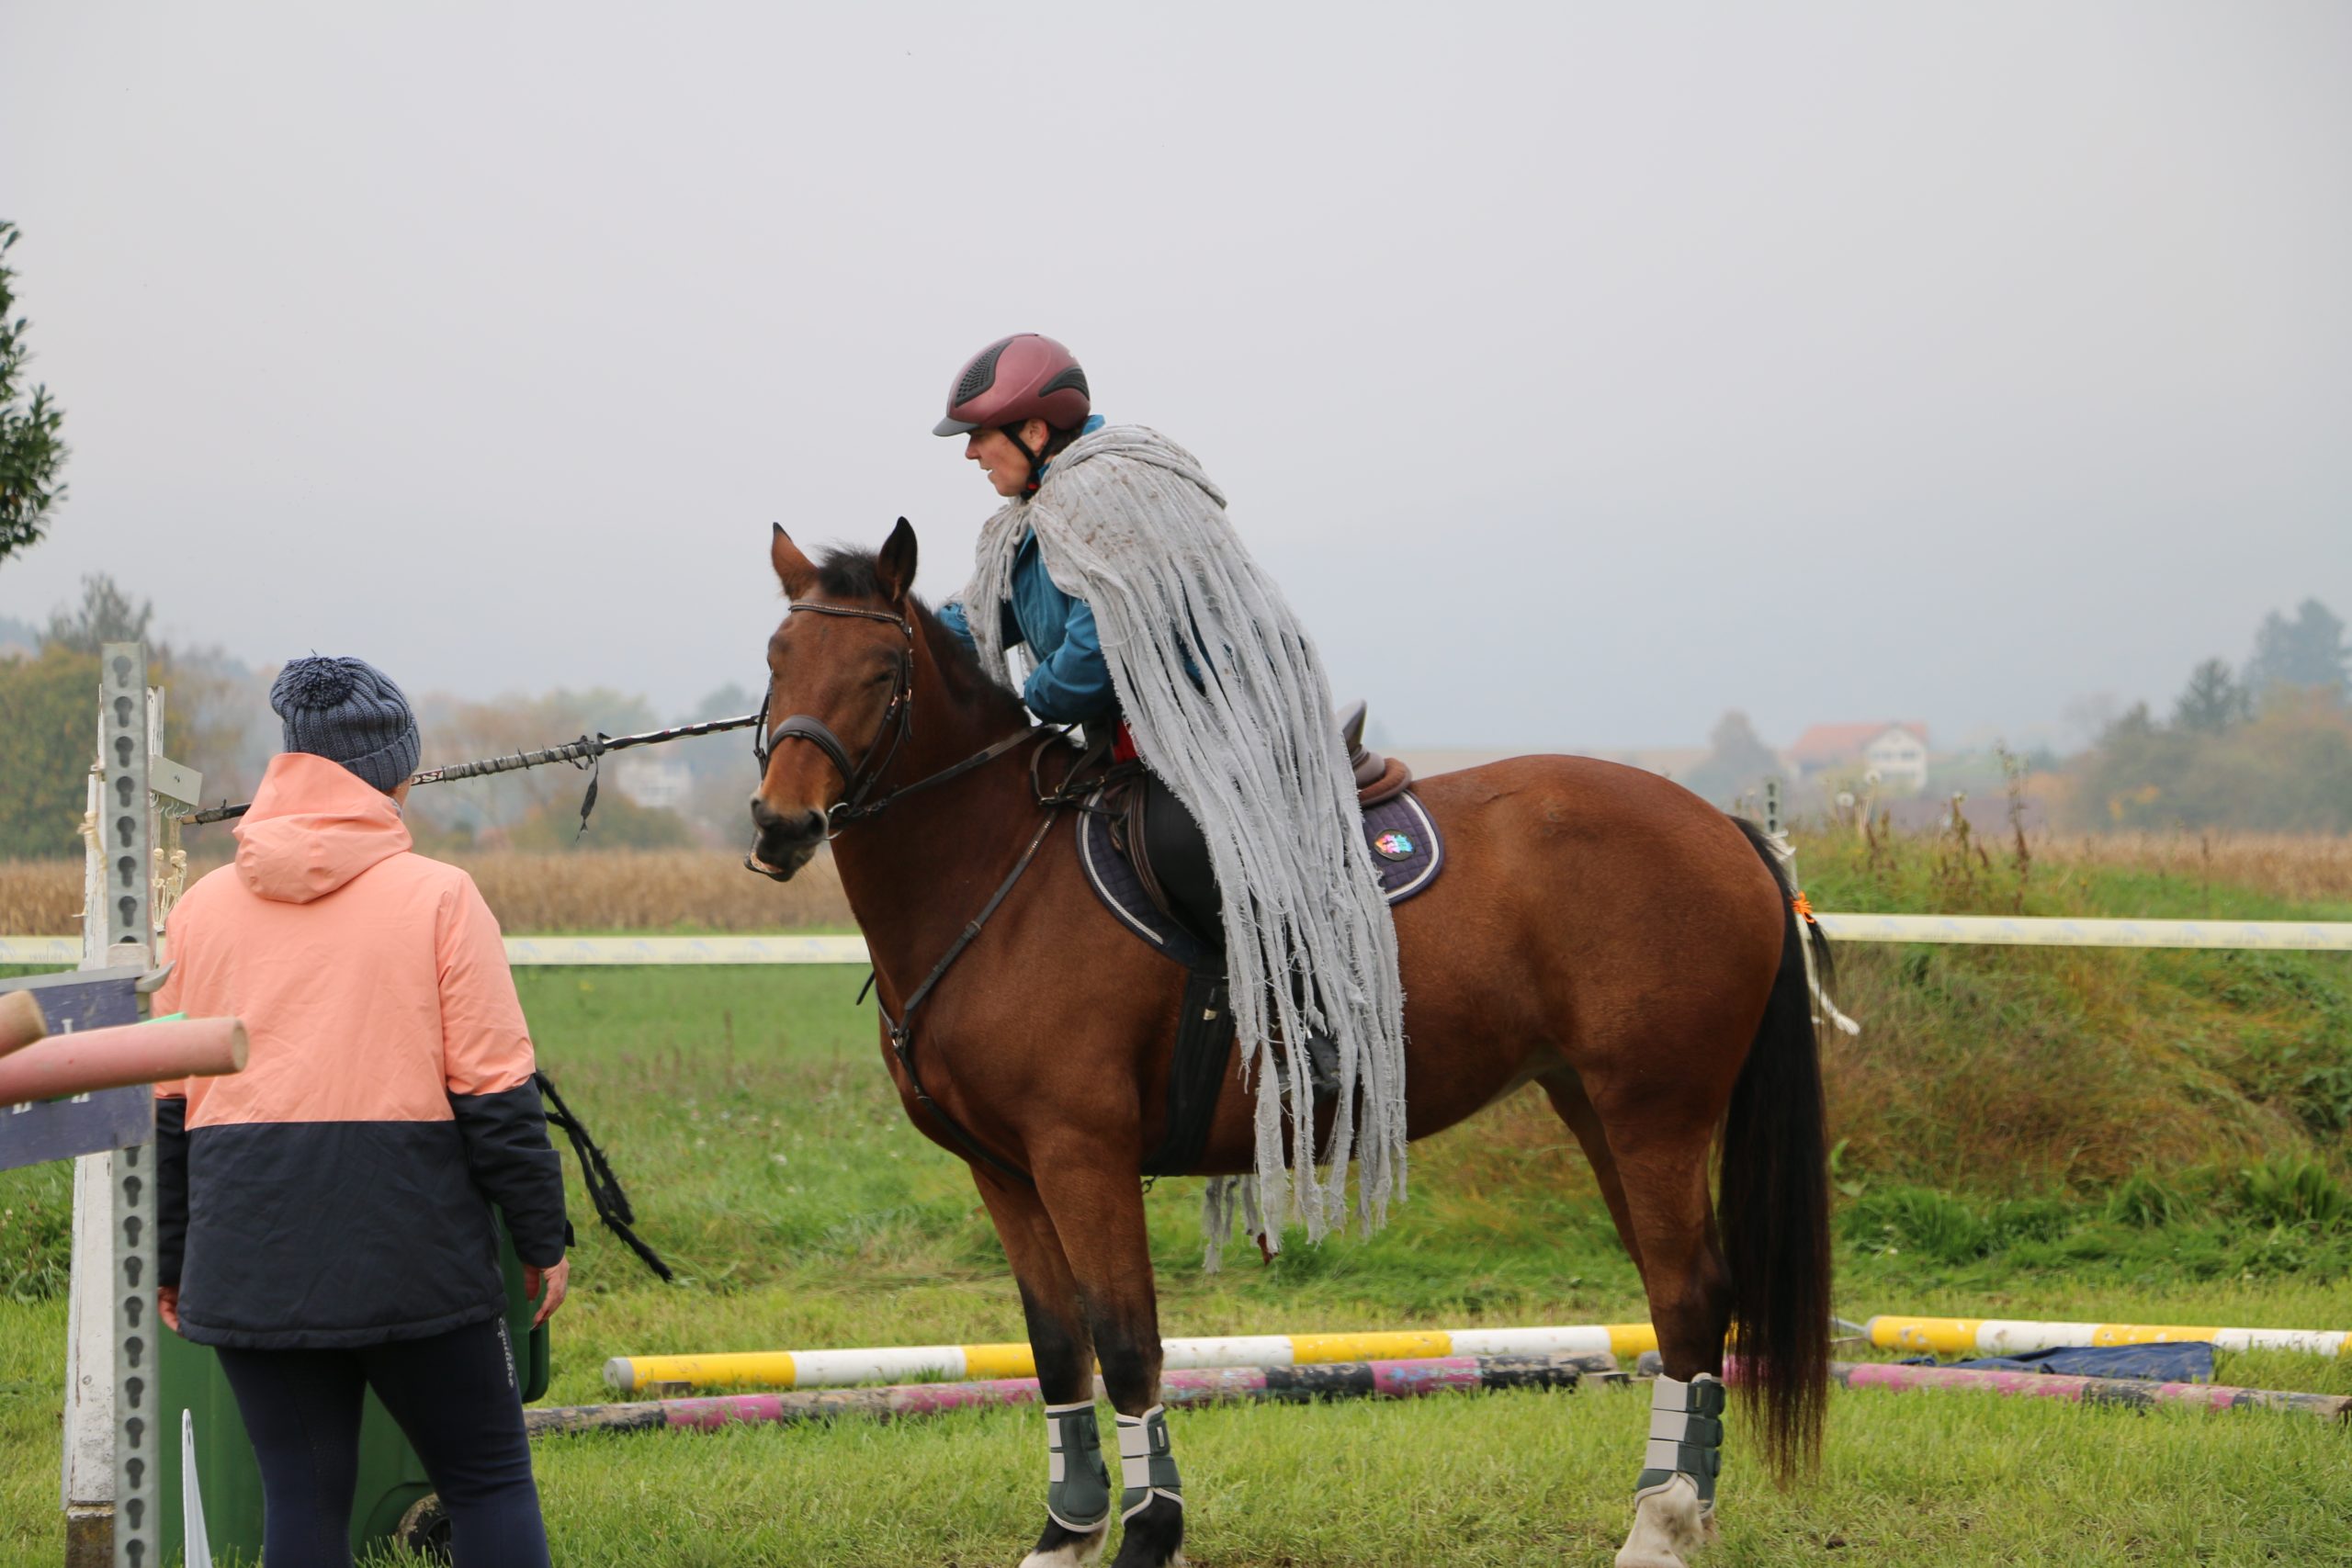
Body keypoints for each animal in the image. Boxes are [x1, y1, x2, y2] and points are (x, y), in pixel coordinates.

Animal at [747, 520, 1830, 1568]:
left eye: (882, 672)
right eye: (776, 659)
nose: (779, 823)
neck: (995, 870)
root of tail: (1722, 827)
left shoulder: (1081, 1155)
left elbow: (1127, 1341)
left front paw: (1149, 1533)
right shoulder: (1004, 1171)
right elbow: (1058, 1350)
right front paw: (1066, 1534)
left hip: (1654, 1113)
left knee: (1687, 1294)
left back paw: (1660, 1525)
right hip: (1597, 1105)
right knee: (1687, 1295)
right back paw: (1684, 1508)